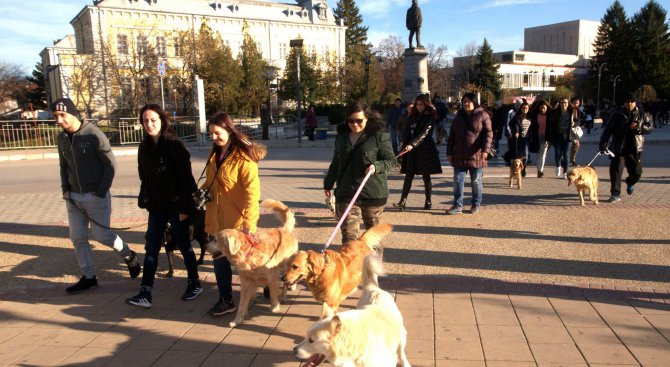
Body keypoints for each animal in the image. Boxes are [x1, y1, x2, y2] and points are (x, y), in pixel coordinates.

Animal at [206, 200, 298, 330]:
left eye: (215, 240)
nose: (205, 246)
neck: (248, 252)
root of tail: (283, 229)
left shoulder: (272, 276)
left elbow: (273, 292)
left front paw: (275, 307)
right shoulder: (246, 282)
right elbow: (242, 304)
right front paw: (237, 320)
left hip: (287, 265)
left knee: (287, 281)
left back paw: (286, 293)